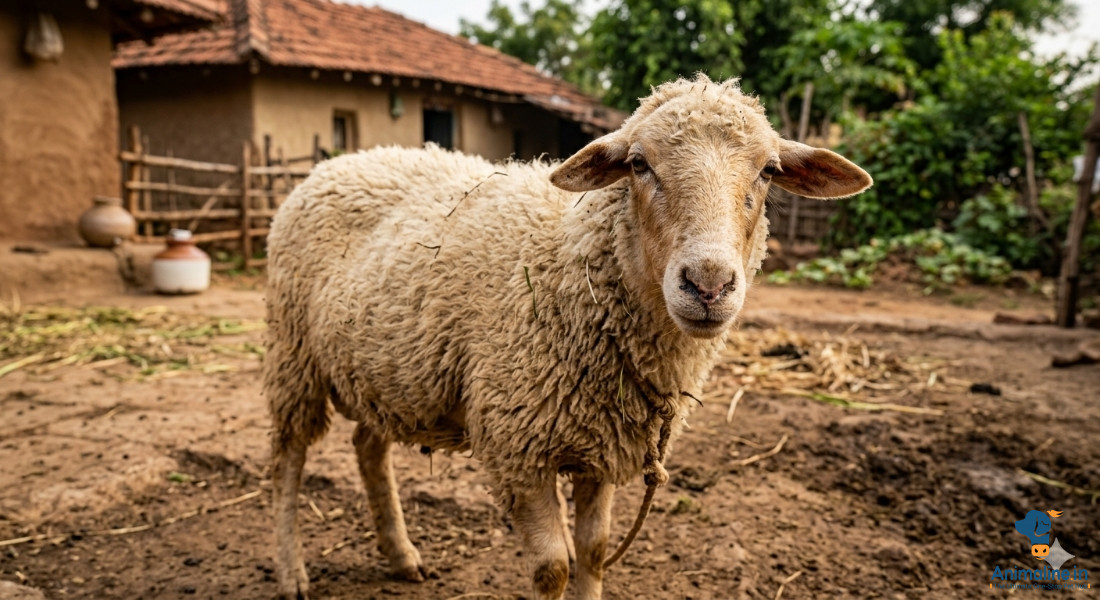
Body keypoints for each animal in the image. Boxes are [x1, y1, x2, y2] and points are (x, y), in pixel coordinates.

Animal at [265, 73, 872, 600]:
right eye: (638, 164)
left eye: (768, 171)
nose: (708, 283)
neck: (574, 263)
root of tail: (340, 162)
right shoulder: (518, 446)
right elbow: (554, 567)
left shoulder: (604, 443)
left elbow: (595, 551)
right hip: (292, 354)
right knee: (288, 460)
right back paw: (292, 573)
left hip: (382, 370)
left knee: (368, 448)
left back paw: (401, 556)